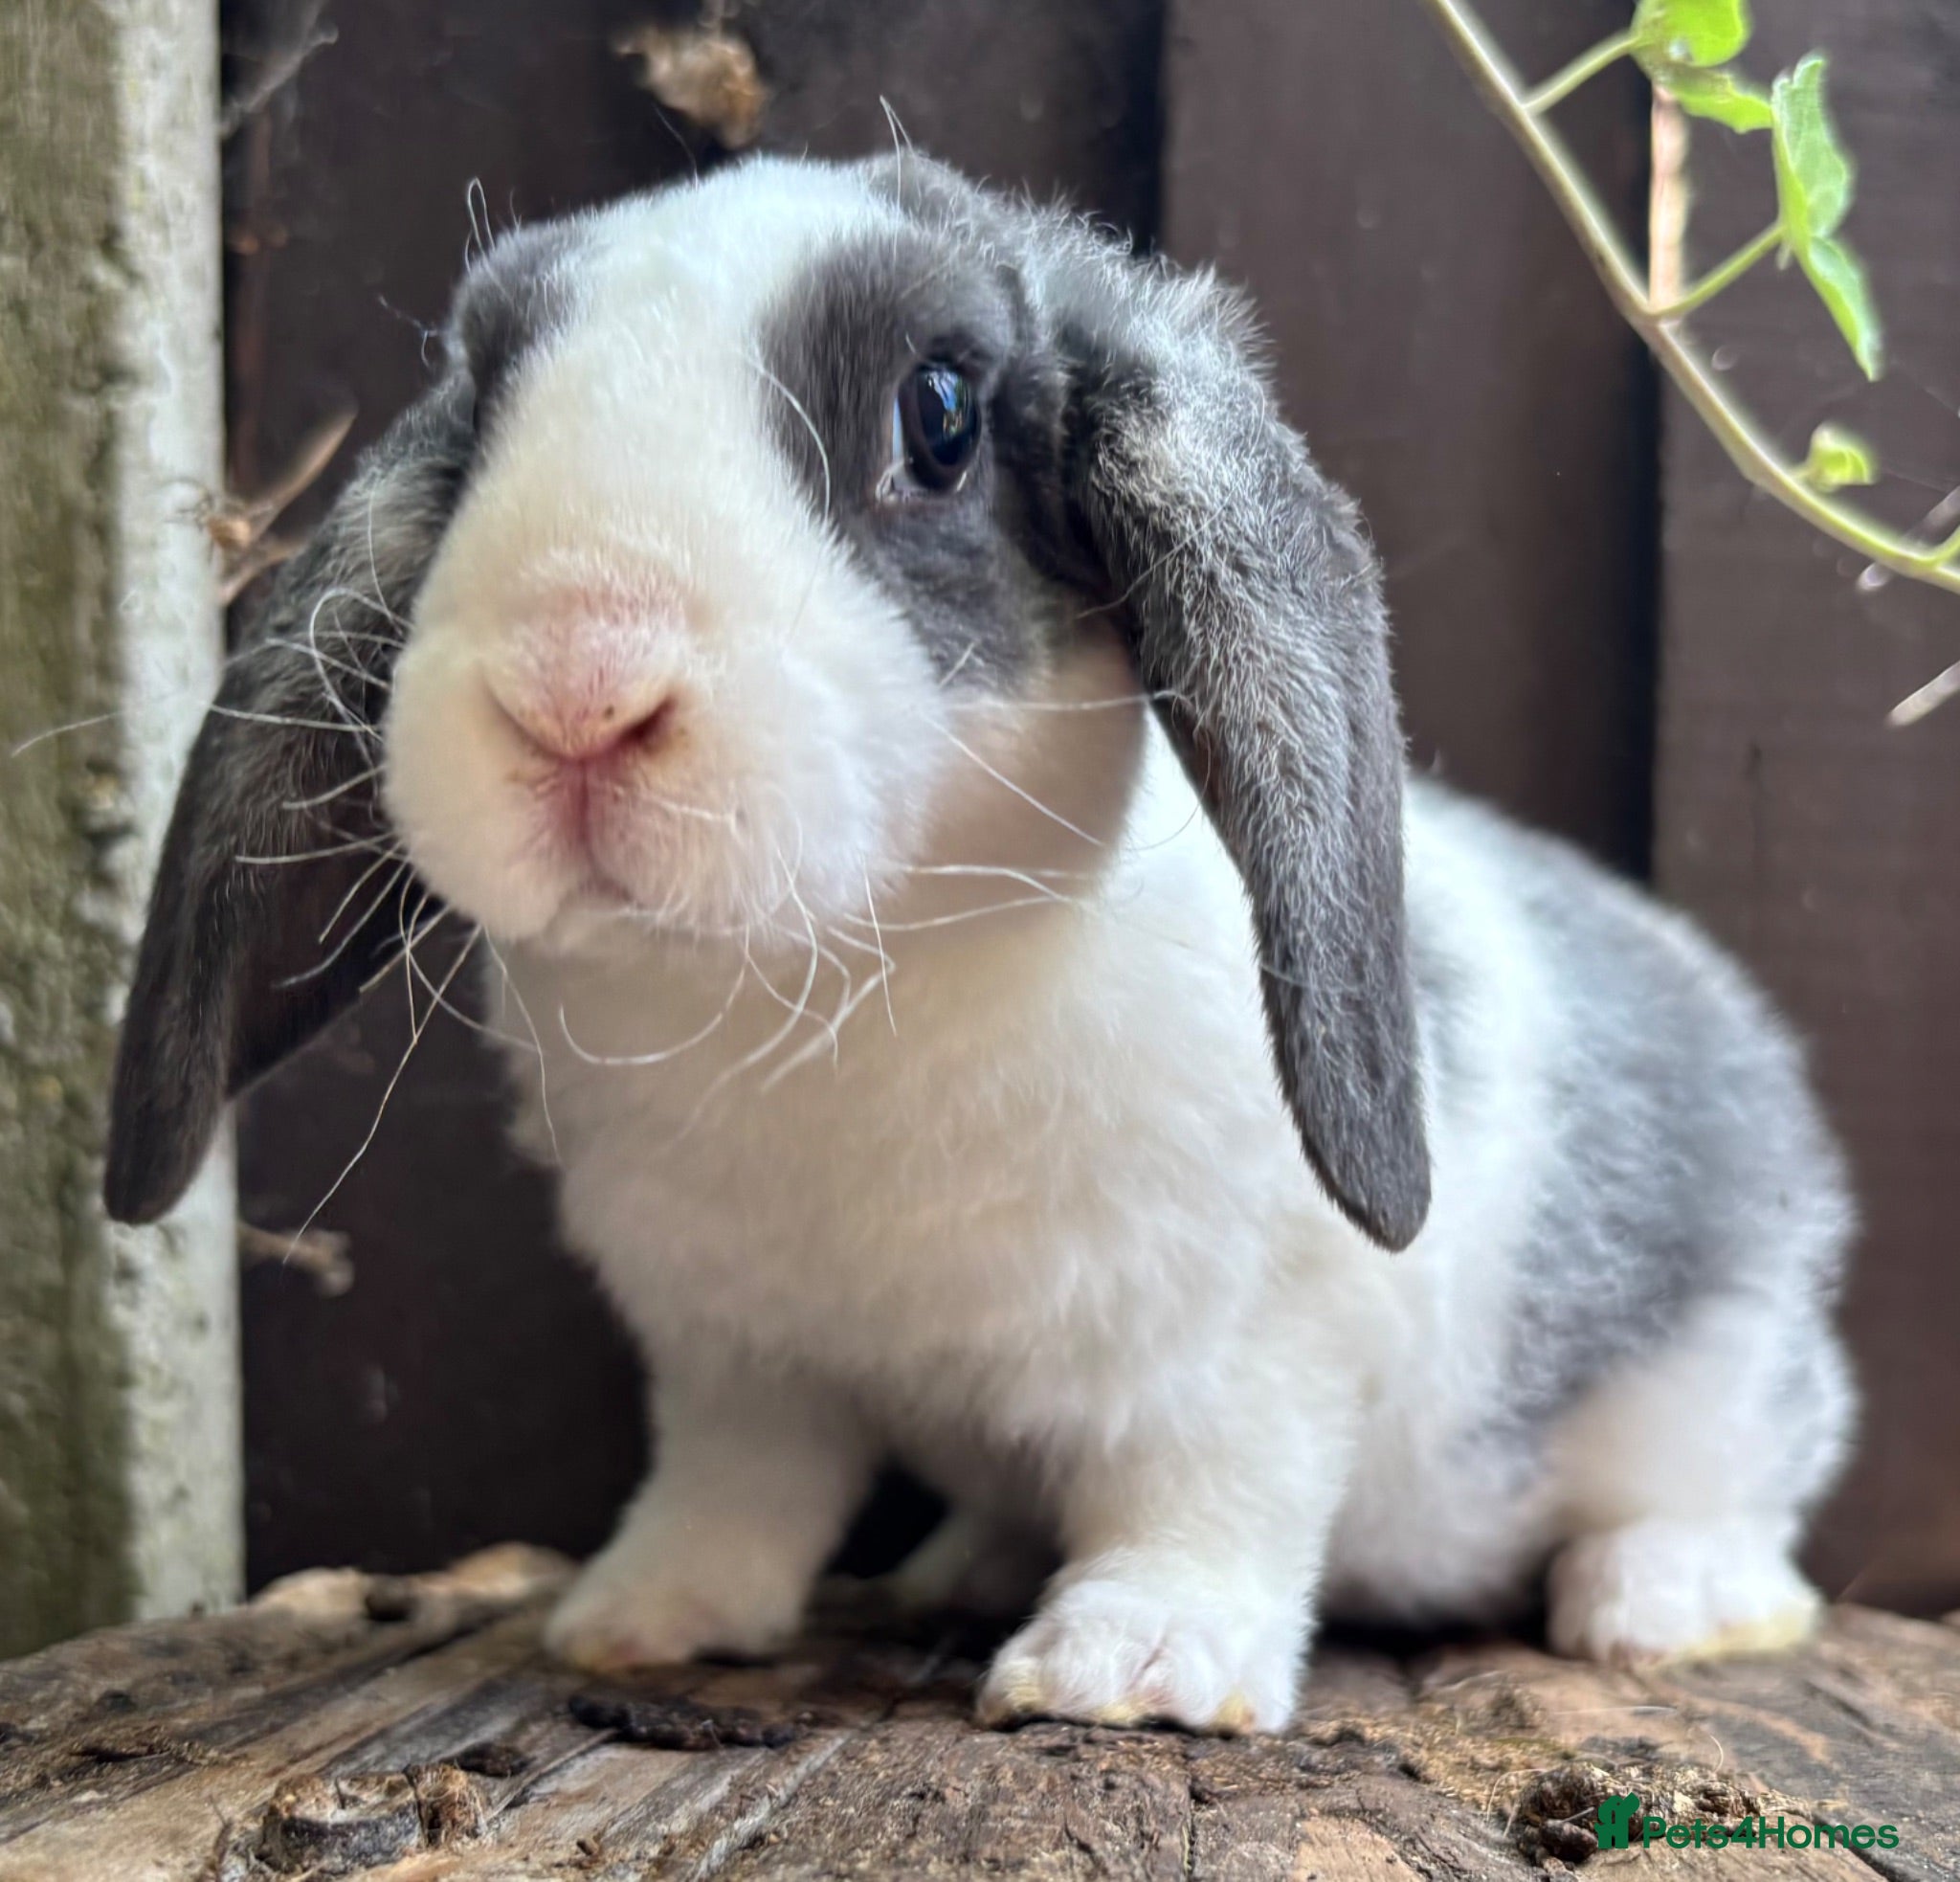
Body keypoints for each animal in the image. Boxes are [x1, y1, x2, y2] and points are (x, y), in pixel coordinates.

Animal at [105, 152, 1856, 1734]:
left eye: (939, 417)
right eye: (479, 409)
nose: (574, 687)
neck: (833, 994)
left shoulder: (1253, 1346)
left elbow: (1209, 1494)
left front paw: (1133, 1670)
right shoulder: (734, 1358)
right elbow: (737, 1491)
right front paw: (635, 1616)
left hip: (1716, 1376)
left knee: (1753, 1481)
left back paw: (1658, 1599)